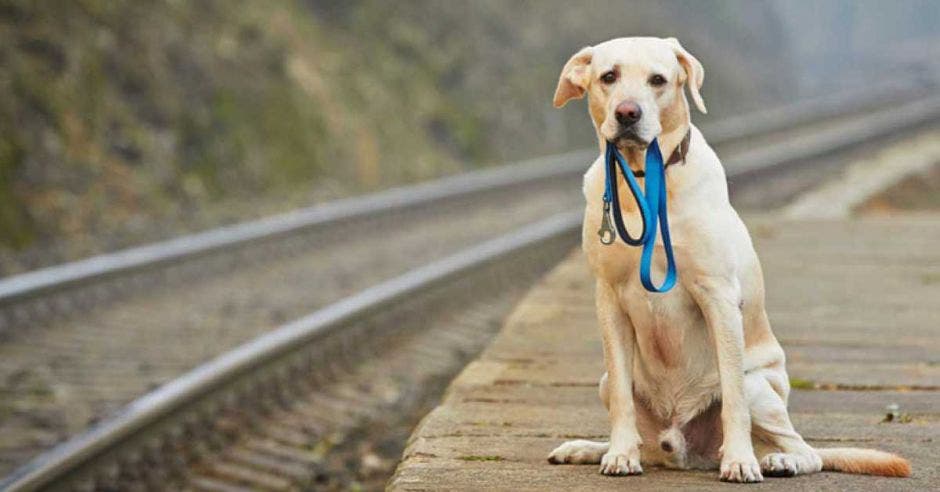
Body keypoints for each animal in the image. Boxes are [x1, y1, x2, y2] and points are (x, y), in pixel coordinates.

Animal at [544, 36, 912, 482]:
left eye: (658, 80)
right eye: (608, 76)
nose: (627, 113)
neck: (646, 182)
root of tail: (684, 449)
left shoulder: (718, 296)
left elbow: (732, 395)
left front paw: (739, 460)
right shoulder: (609, 300)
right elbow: (621, 398)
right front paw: (618, 454)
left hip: (762, 391)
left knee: (805, 449)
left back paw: (777, 459)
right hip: (606, 384)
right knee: (634, 420)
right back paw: (590, 448)